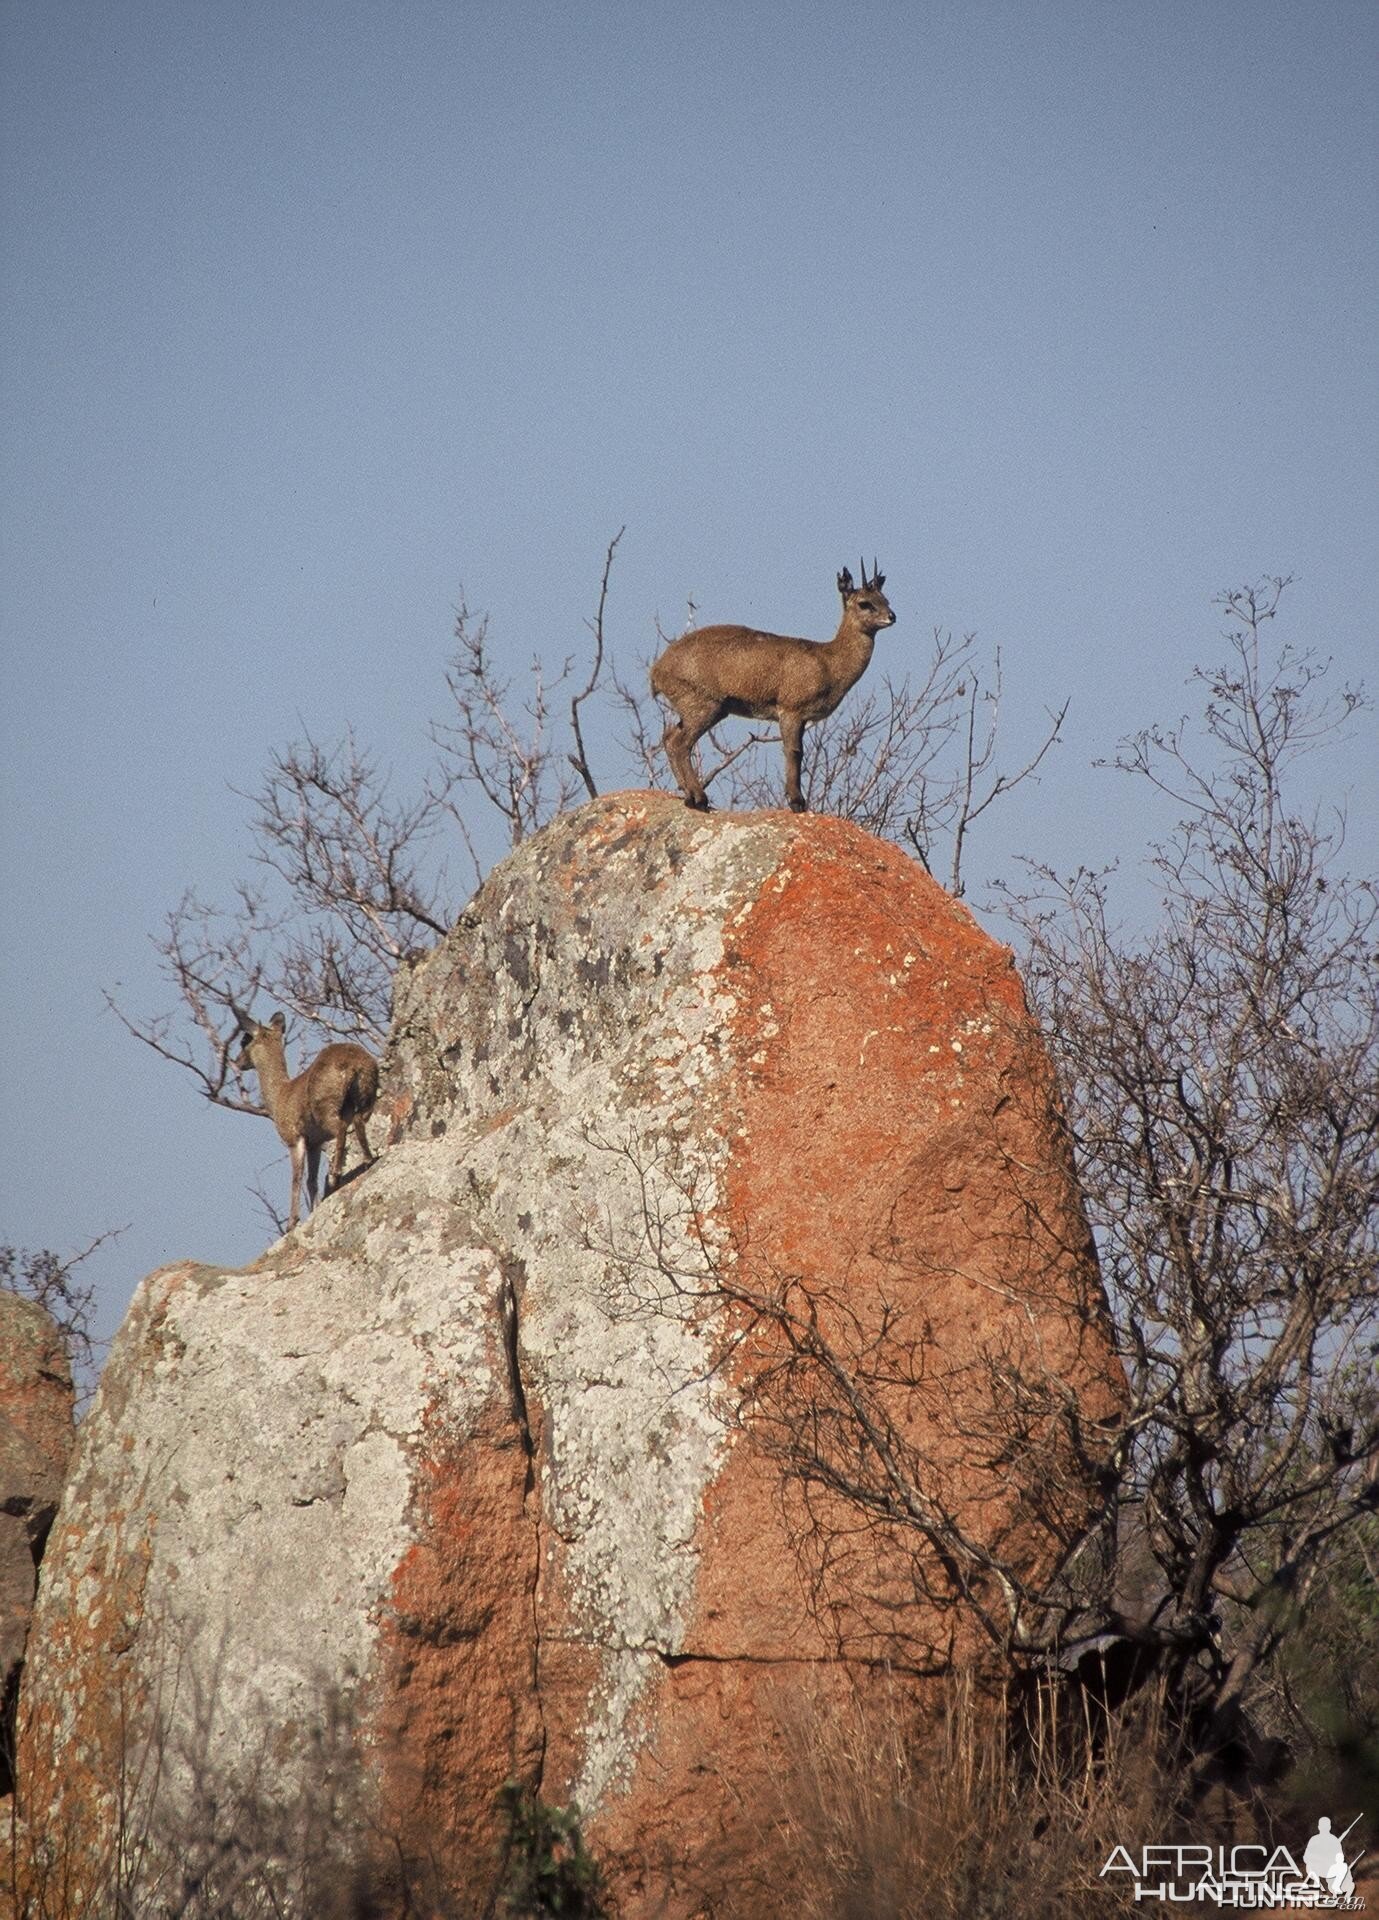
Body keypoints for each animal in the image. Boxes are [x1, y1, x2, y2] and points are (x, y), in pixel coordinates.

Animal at [232, 1006, 380, 1228]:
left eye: (244, 1040)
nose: (238, 1061)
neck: (280, 1097)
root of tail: (353, 1065)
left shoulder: (294, 1137)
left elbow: (297, 1179)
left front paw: (292, 1223)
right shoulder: (315, 1142)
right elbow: (311, 1180)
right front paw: (315, 1208)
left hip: (325, 1107)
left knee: (341, 1127)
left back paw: (336, 1175)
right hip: (367, 1095)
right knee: (358, 1122)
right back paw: (368, 1160)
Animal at [653, 564, 902, 814]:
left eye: (885, 599)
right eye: (864, 603)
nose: (892, 616)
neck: (829, 662)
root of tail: (656, 671)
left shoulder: (802, 718)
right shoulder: (791, 708)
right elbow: (794, 752)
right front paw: (797, 802)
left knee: (669, 736)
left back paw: (688, 794)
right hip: (705, 705)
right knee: (680, 743)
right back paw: (698, 799)